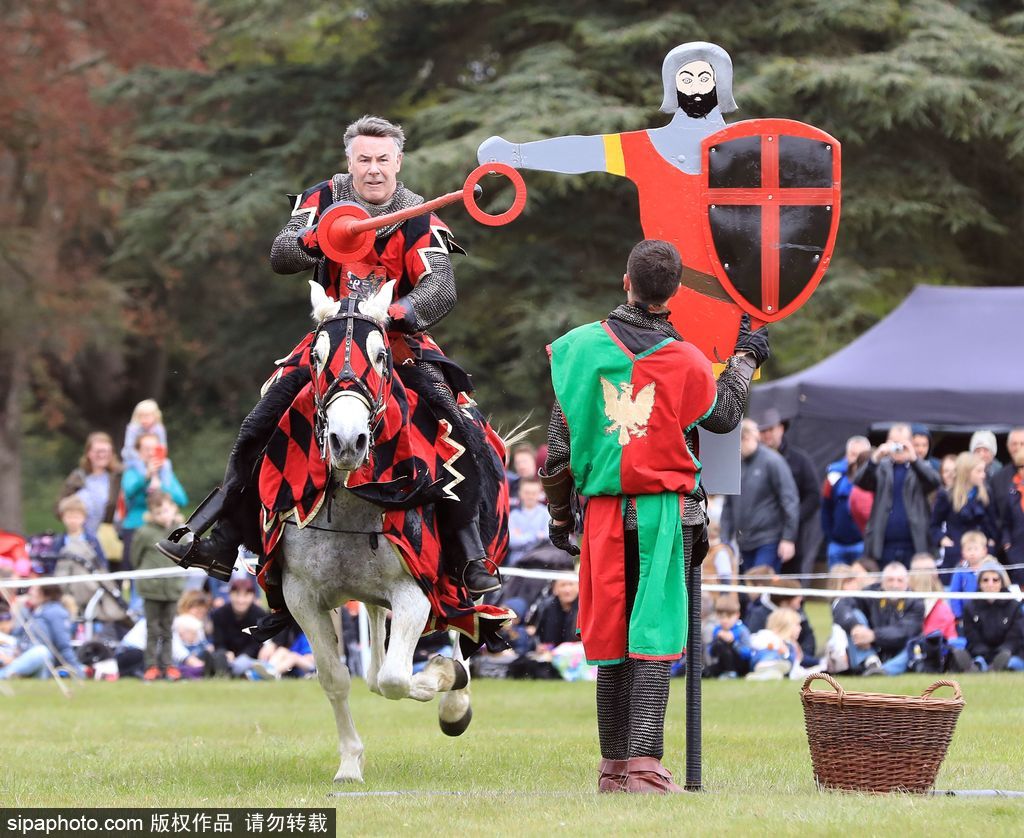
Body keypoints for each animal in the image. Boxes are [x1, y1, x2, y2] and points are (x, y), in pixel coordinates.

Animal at [276, 280, 475, 782]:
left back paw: (456, 695)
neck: (353, 506)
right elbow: (337, 678)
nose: (347, 442)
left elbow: (397, 679)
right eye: (315, 358)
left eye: (382, 355)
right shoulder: (302, 597)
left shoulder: (415, 593)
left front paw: (446, 681)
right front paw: (350, 762)